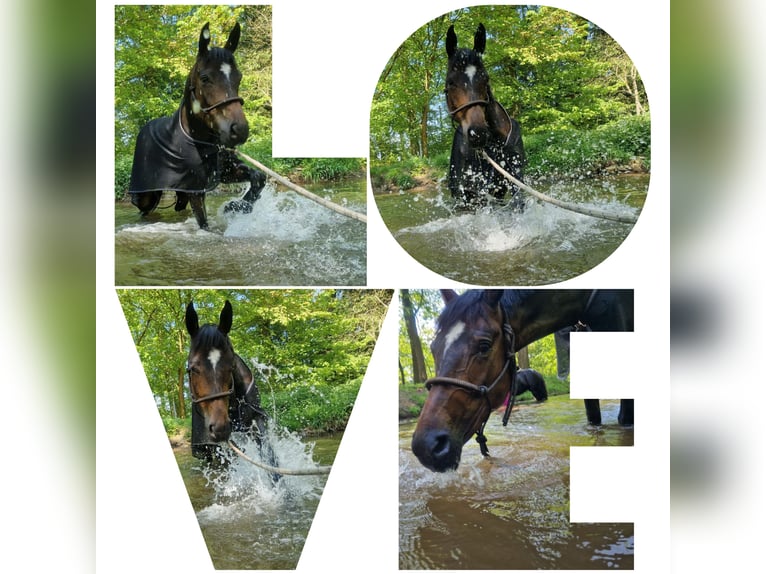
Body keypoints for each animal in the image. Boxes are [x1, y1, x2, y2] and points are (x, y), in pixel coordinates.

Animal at [129, 22, 266, 230]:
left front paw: (235, 207)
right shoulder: (195, 190)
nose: (239, 131)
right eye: (205, 78)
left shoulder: (223, 174)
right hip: (147, 195)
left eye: (239, 77)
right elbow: (205, 225)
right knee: (143, 210)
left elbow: (259, 177)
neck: (199, 141)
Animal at [445, 24, 526, 209]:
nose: (478, 133)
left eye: (486, 79)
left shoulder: (515, 179)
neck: (494, 145)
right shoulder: (473, 192)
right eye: (450, 82)